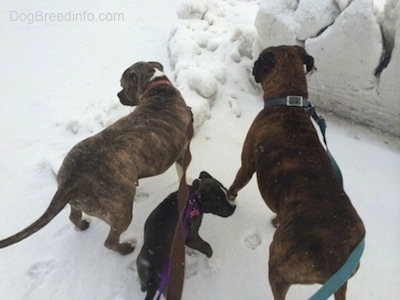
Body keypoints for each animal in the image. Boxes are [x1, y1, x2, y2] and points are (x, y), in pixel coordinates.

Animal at [0, 61, 194, 255]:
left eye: (122, 85)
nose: (118, 94)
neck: (156, 88)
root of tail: (70, 182)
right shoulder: (183, 152)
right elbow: (183, 173)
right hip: (121, 210)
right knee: (110, 241)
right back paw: (125, 248)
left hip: (81, 201)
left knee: (74, 215)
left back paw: (82, 224)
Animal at [137, 171, 234, 300]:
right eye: (218, 202)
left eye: (227, 192)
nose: (234, 207)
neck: (193, 198)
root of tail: (151, 278)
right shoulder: (192, 238)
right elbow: (207, 247)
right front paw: (213, 262)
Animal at [228, 46, 366, 300]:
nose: (253, 64)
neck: (289, 102)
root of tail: (336, 258)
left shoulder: (247, 164)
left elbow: (237, 183)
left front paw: (229, 197)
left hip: (279, 266)